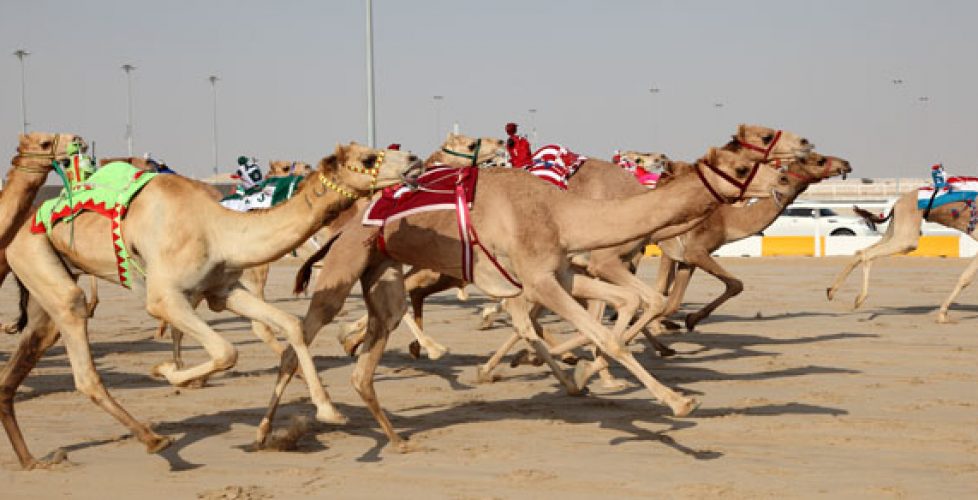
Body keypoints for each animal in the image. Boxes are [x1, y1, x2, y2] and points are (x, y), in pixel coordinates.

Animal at [0, 142, 420, 468]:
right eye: (368, 157)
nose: (414, 159)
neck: (219, 229)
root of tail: (22, 226)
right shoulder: (164, 297)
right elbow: (225, 351)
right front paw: (169, 372)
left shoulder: (223, 290)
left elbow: (290, 325)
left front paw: (327, 409)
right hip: (34, 255)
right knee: (81, 352)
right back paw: (155, 440)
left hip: (45, 284)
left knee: (30, 351)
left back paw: (33, 460)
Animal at [264, 142, 784, 454]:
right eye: (743, 165)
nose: (779, 182)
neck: (562, 213)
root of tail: (343, 226)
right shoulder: (538, 281)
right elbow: (607, 335)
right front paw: (678, 404)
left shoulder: (562, 274)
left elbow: (622, 308)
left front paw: (581, 373)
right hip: (345, 267)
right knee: (300, 341)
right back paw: (275, 429)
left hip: (382, 276)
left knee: (365, 362)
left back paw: (397, 437)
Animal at [824, 189, 976, 322]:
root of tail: (897, 203)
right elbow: (966, 278)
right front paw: (942, 315)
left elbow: (965, 278)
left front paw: (943, 314)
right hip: (906, 237)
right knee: (868, 254)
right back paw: (859, 299)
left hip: (894, 229)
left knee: (860, 252)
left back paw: (831, 291)